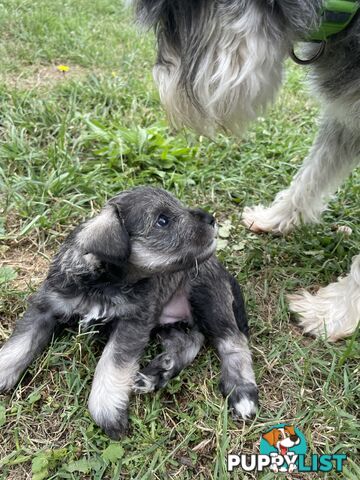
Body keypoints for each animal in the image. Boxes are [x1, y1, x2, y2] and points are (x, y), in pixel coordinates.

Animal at [0, 187, 258, 438]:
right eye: (162, 220)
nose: (210, 219)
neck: (102, 282)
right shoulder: (45, 306)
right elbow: (20, 344)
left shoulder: (131, 323)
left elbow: (111, 363)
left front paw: (107, 410)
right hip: (168, 322)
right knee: (190, 341)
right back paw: (157, 373)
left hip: (207, 300)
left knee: (232, 342)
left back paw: (242, 393)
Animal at [131, 0, 360, 342]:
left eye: (173, 15)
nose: (160, 82)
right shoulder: (345, 119)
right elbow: (311, 175)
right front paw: (276, 217)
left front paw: (332, 312)